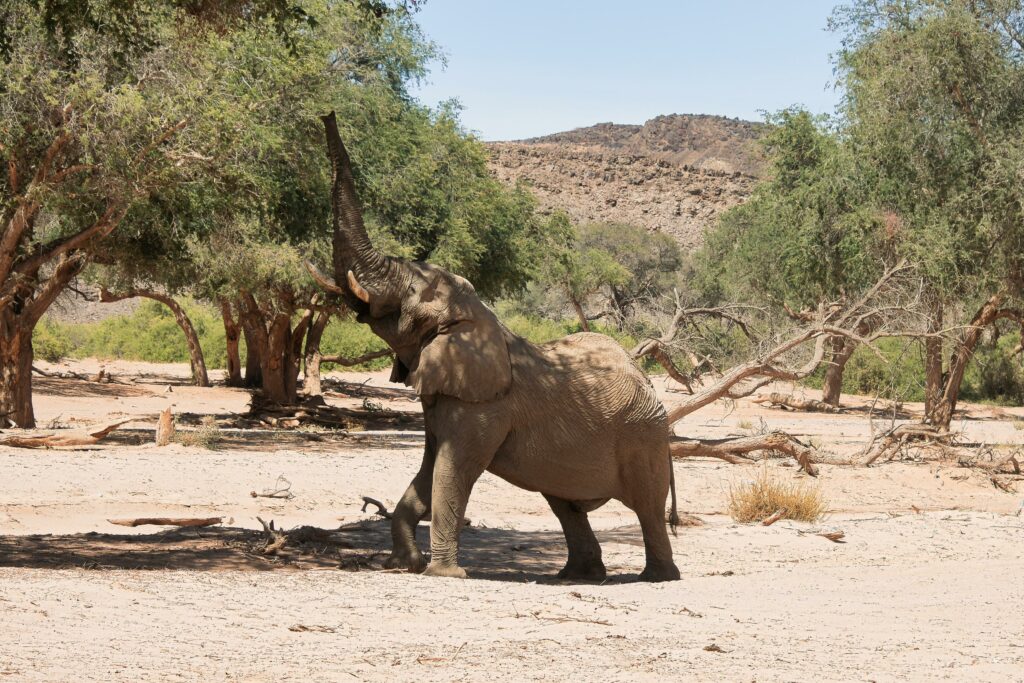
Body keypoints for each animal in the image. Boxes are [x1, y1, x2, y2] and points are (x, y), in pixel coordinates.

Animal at [310, 112, 681, 582]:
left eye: (413, 292)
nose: (327, 113)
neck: (478, 317)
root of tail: (645, 381)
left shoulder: (484, 407)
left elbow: (452, 473)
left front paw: (444, 575)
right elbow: (427, 472)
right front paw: (403, 564)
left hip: (643, 437)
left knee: (646, 508)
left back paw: (656, 577)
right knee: (564, 504)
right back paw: (577, 576)